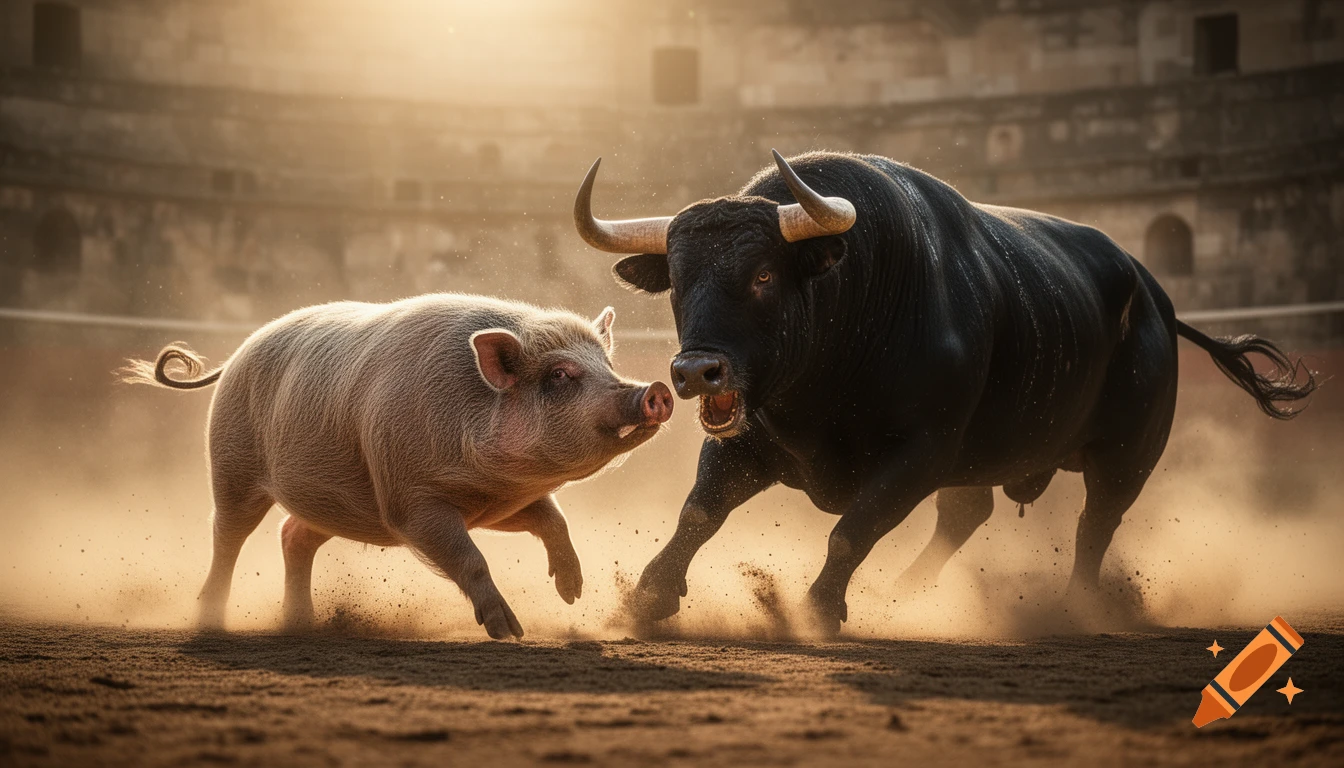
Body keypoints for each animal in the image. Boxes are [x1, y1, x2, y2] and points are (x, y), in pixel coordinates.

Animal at [122, 293, 673, 638]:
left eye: (606, 364)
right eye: (560, 374)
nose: (654, 389)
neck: (493, 483)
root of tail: (234, 355)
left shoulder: (497, 505)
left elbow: (553, 518)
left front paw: (573, 592)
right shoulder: (409, 502)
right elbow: (470, 557)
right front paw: (510, 632)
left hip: (333, 502)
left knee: (293, 535)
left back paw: (302, 625)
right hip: (231, 467)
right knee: (227, 537)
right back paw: (210, 622)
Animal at [572, 150, 1316, 634]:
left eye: (762, 276)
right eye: (677, 279)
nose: (696, 371)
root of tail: (1155, 298)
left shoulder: (922, 452)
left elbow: (853, 528)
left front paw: (818, 610)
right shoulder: (748, 441)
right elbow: (699, 512)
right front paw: (646, 598)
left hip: (1127, 455)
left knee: (1093, 528)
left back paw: (1073, 608)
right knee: (969, 514)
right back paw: (904, 594)